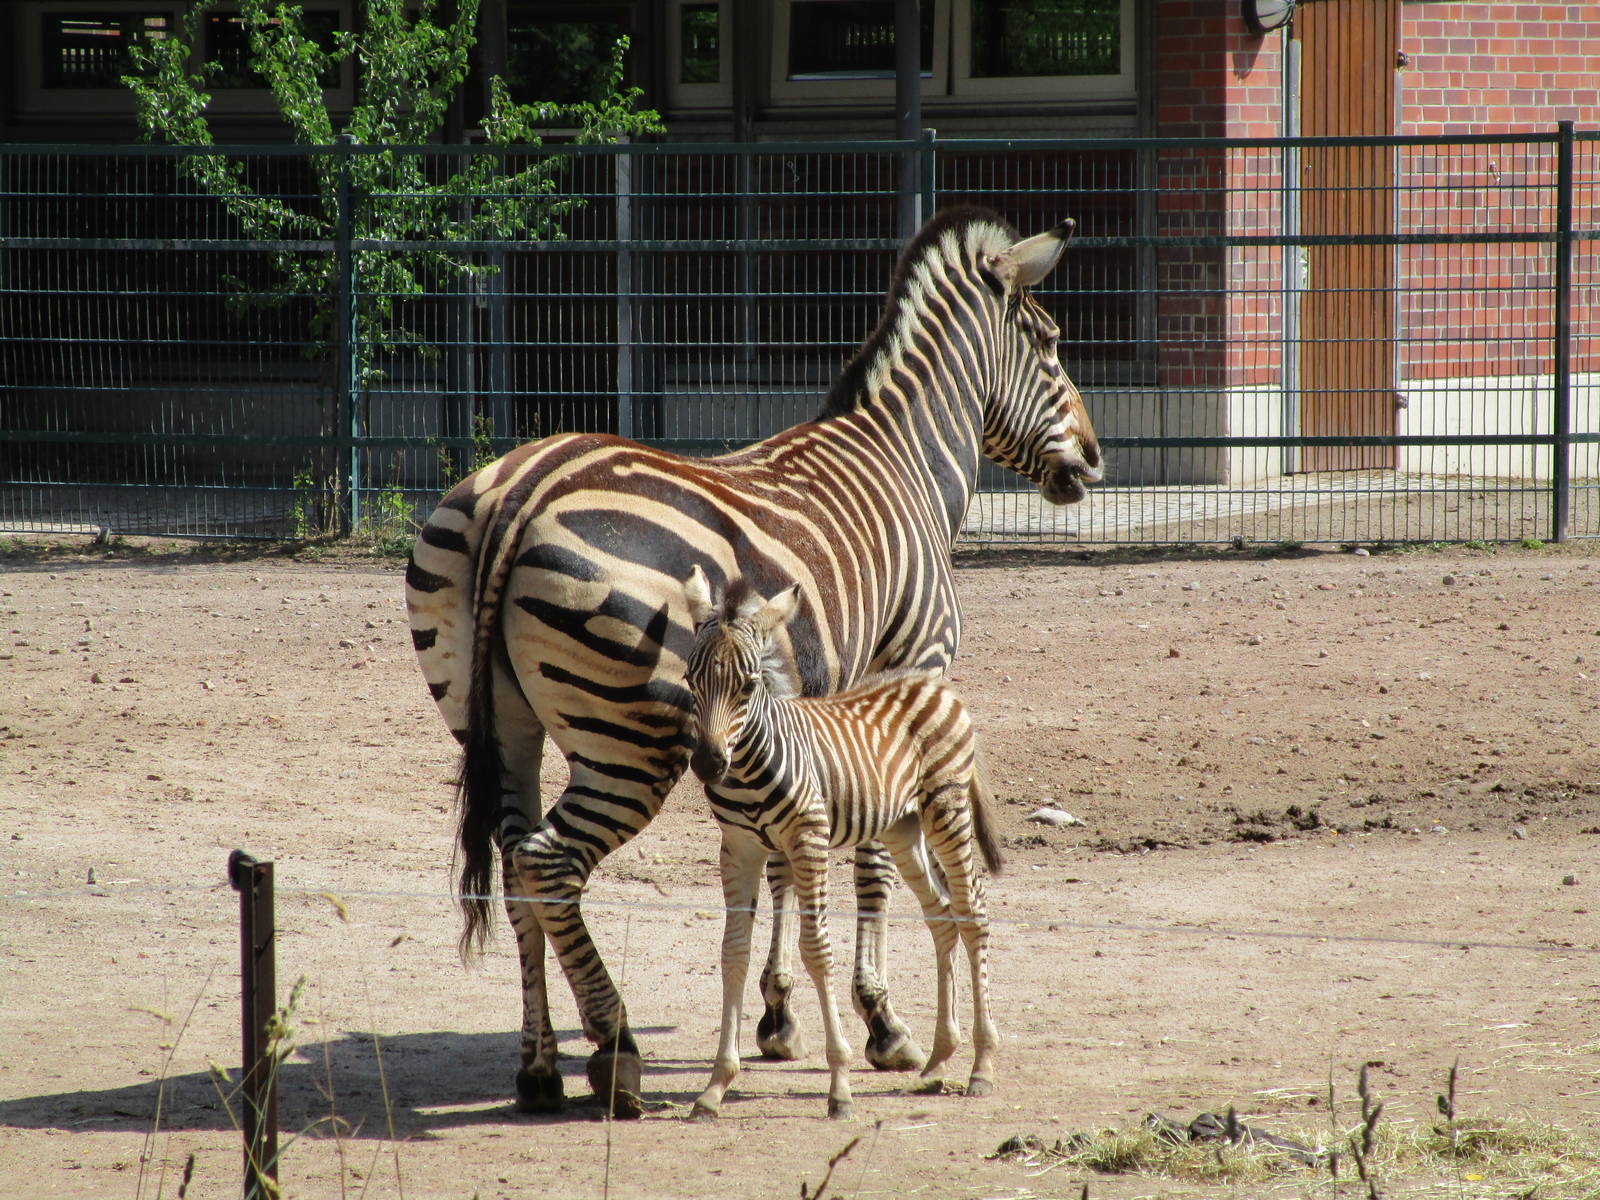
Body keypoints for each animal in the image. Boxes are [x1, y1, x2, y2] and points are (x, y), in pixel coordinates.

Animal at [682, 566, 1003, 1120]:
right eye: (689, 679)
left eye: (747, 685)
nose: (707, 763)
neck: (752, 763)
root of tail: (932, 684)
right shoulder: (738, 848)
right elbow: (733, 952)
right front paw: (716, 1086)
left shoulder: (808, 839)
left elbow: (816, 949)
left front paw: (840, 1085)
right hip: (903, 827)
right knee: (942, 916)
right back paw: (938, 1061)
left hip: (946, 809)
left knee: (972, 912)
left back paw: (981, 1066)